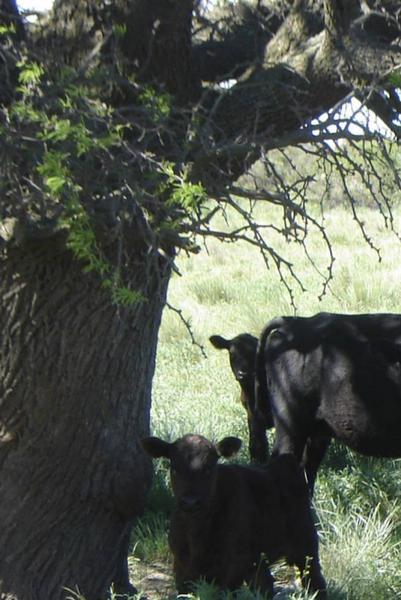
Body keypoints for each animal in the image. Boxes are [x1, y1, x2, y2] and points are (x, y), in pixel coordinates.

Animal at [141, 432, 324, 596]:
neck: (197, 535)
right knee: (264, 584)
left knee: (315, 581)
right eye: (174, 469)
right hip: (259, 559)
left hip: (306, 545)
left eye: (208, 469)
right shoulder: (181, 566)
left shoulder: (235, 566)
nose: (190, 501)